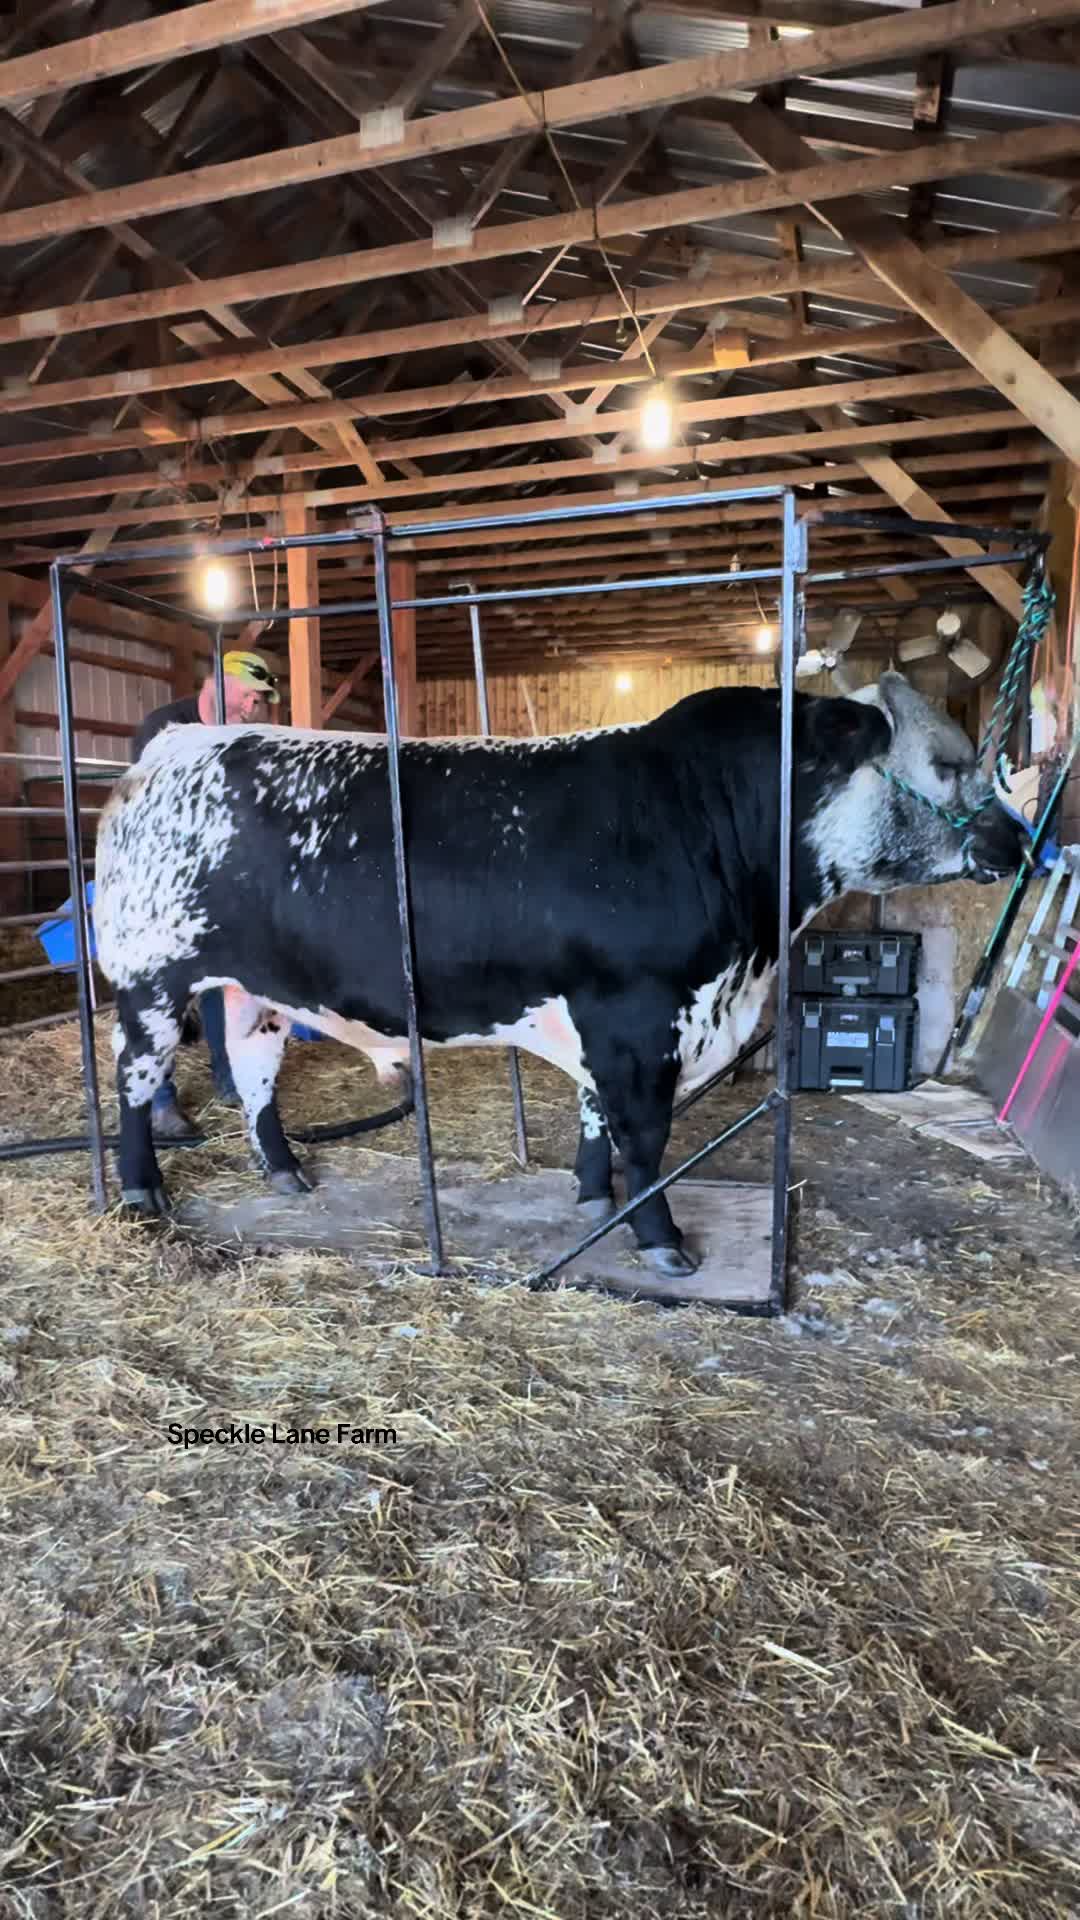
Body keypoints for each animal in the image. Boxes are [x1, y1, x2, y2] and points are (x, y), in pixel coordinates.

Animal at [94, 674, 1022, 1275]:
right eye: (947, 763)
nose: (1020, 841)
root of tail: (171, 746)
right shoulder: (636, 1016)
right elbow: (643, 1135)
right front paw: (660, 1239)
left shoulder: (613, 1020)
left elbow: (596, 1117)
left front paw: (593, 1198)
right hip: (148, 980)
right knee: (135, 1081)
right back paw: (141, 1191)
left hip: (251, 990)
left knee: (254, 1077)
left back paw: (284, 1173)